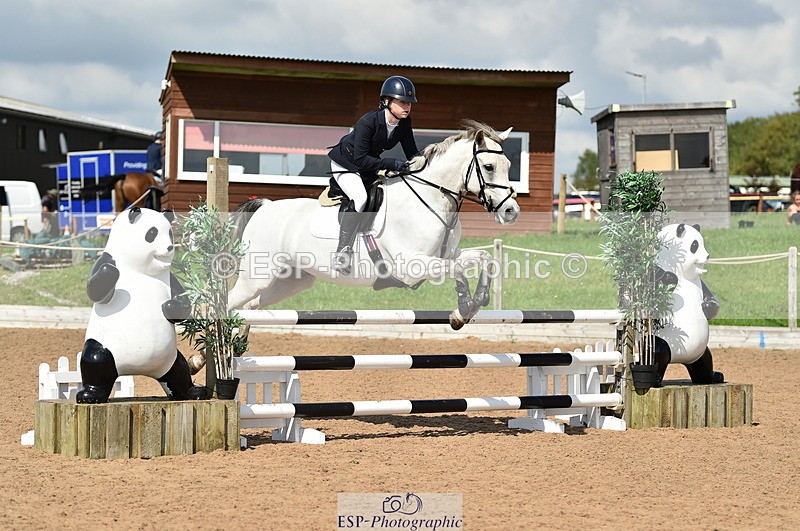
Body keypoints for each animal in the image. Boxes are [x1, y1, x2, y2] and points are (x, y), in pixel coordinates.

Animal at [227, 120, 521, 330]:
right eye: (489, 166)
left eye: (509, 164)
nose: (511, 211)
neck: (429, 198)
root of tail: (265, 207)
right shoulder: (412, 266)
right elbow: (459, 268)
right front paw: (463, 307)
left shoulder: (446, 255)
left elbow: (483, 258)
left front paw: (472, 304)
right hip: (257, 277)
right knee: (227, 304)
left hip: (290, 281)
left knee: (250, 307)